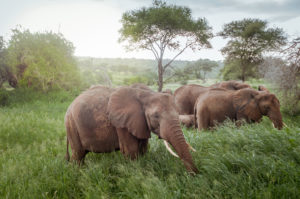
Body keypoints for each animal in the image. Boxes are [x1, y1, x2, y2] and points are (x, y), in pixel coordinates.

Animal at [64, 84, 198, 173]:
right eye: (156, 116)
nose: (195, 174)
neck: (146, 94)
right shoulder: (121, 124)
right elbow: (131, 150)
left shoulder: (141, 123)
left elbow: (143, 148)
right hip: (71, 124)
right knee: (78, 154)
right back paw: (76, 173)